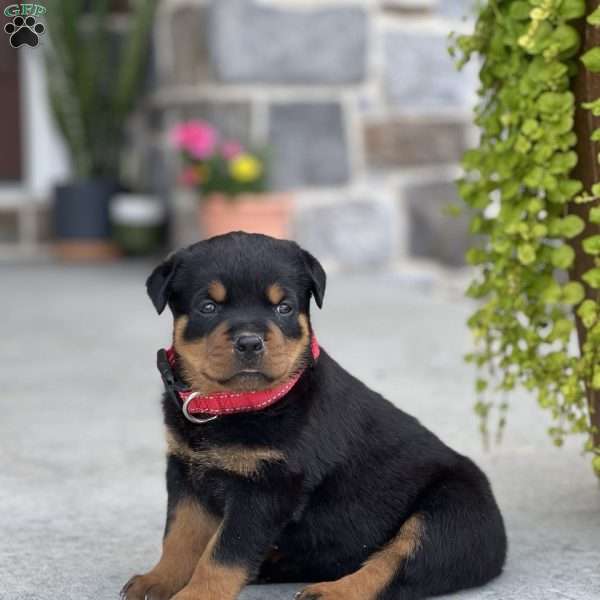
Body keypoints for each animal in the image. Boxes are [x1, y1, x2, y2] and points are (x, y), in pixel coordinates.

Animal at [123, 233, 506, 600]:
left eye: (284, 307)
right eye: (208, 306)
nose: (250, 342)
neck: (234, 403)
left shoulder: (267, 489)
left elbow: (223, 554)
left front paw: (196, 594)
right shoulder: (185, 472)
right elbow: (180, 536)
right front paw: (159, 580)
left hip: (446, 515)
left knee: (394, 565)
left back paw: (331, 591)